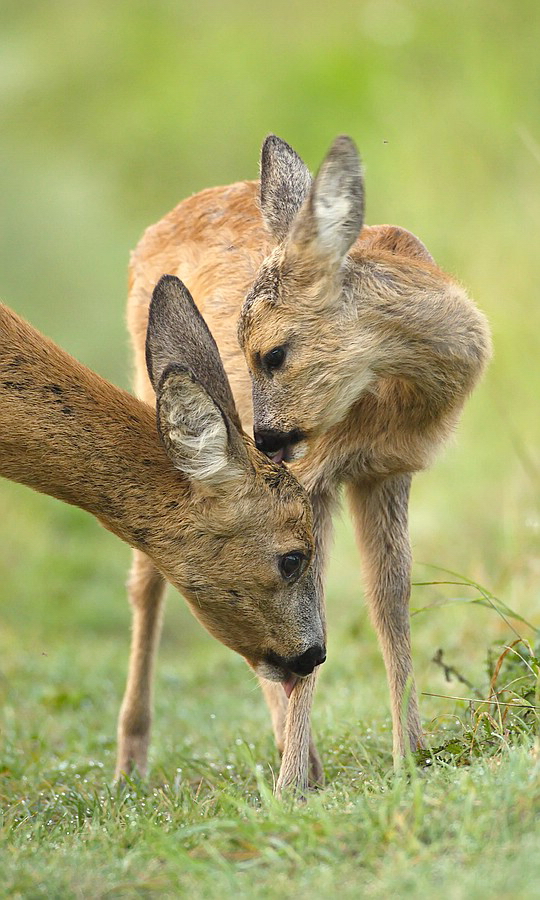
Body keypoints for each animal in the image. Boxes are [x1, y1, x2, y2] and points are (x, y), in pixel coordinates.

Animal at [127, 132, 494, 772]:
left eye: (273, 353)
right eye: (247, 350)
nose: (266, 440)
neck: (383, 407)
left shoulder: (387, 472)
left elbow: (389, 597)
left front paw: (411, 756)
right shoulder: (312, 480)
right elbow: (314, 597)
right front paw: (291, 784)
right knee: (145, 577)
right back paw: (132, 762)